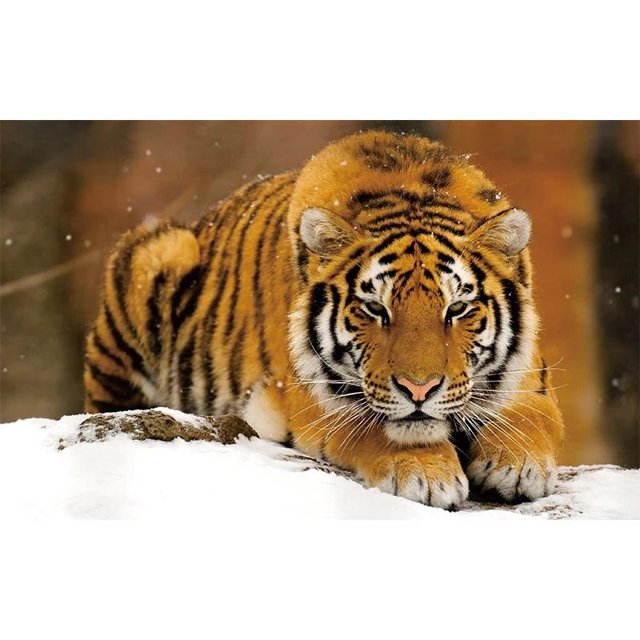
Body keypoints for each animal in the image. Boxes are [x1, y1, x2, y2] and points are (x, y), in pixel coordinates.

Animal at [84, 130, 565, 509]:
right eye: (376, 309)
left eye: (456, 309)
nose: (419, 390)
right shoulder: (309, 395)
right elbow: (375, 425)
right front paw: (425, 473)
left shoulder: (530, 377)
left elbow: (531, 415)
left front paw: (518, 464)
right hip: (159, 253)